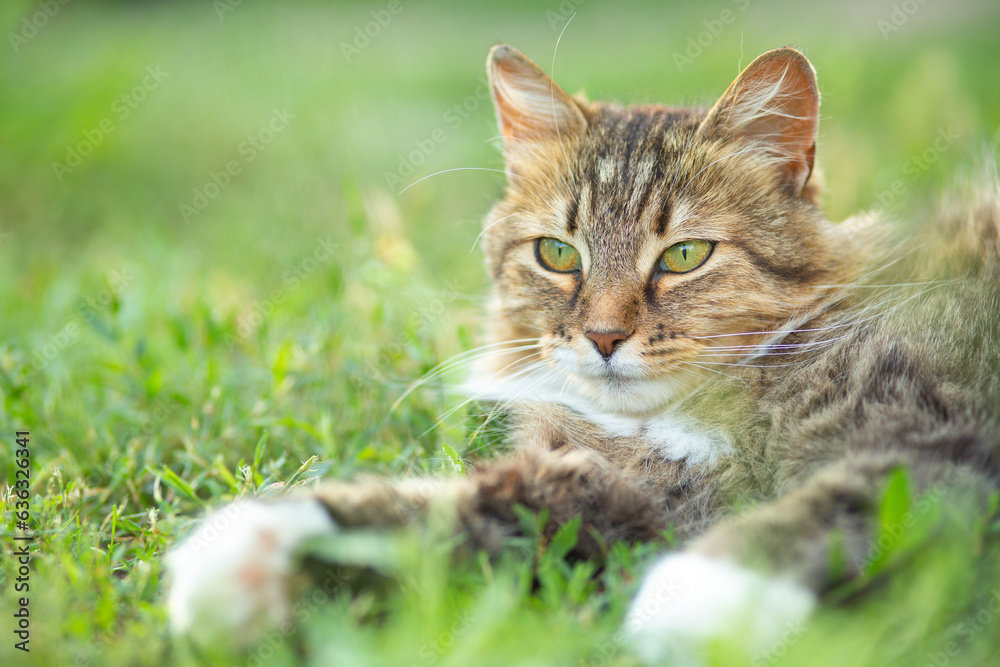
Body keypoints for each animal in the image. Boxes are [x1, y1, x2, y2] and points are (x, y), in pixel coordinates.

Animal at [166, 43, 1000, 664]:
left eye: (685, 255)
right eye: (559, 254)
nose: (603, 337)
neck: (691, 418)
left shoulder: (935, 423)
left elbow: (834, 498)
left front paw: (691, 599)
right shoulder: (623, 494)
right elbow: (439, 514)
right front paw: (251, 552)